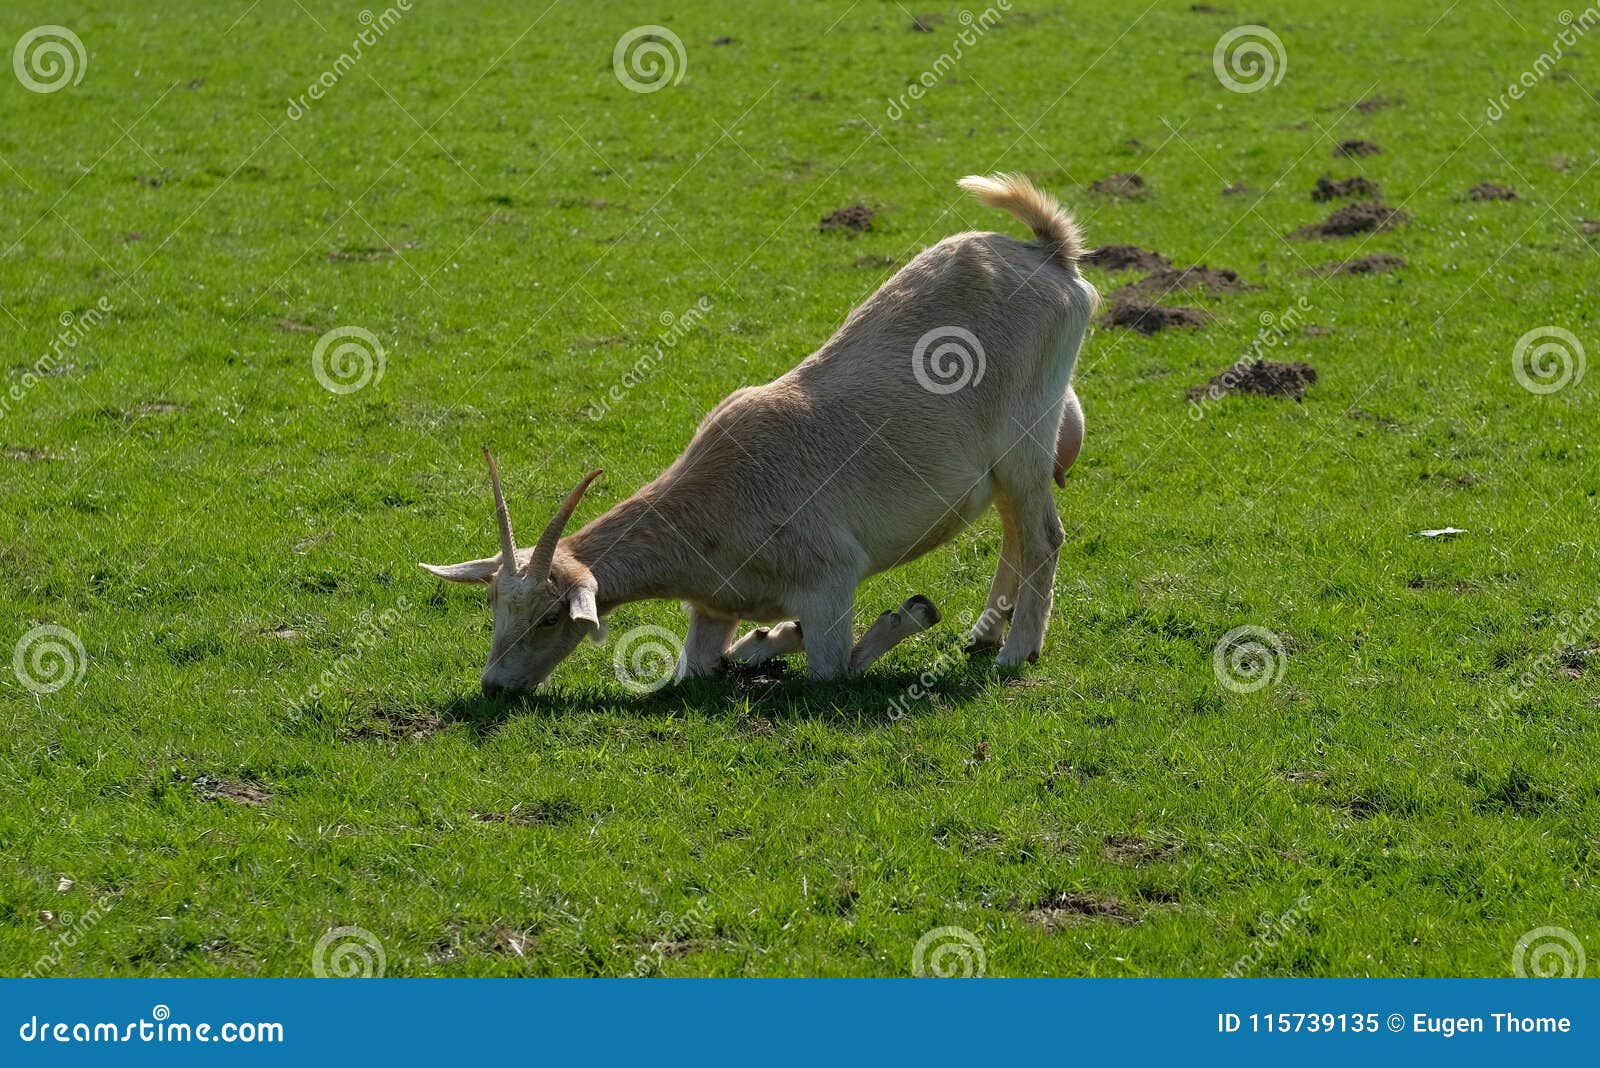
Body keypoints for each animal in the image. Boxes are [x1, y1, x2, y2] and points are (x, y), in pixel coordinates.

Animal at [422, 173, 1097, 697]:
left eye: (549, 618)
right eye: (494, 604)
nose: (493, 685)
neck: (716, 501)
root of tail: (1052, 255)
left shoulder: (831, 579)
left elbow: (835, 669)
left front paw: (905, 615)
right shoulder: (711, 607)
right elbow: (699, 669)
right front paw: (765, 638)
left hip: (1026, 436)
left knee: (1043, 536)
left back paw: (1016, 652)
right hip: (1006, 463)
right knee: (1014, 530)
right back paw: (985, 634)